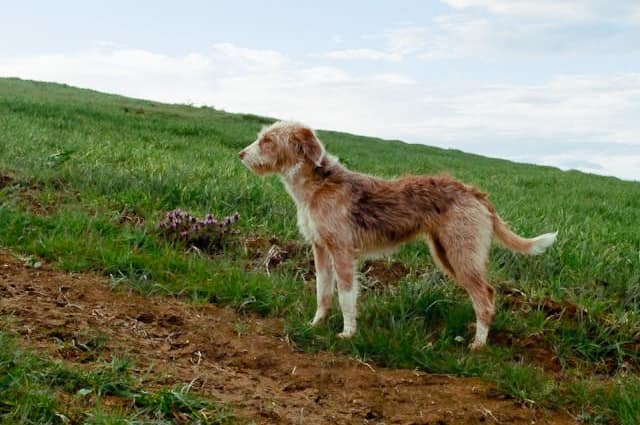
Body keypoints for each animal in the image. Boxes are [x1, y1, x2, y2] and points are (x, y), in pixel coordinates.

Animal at [239, 121, 556, 350]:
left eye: (268, 141)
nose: (240, 154)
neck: (318, 185)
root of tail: (473, 192)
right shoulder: (320, 249)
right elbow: (323, 293)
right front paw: (315, 325)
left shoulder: (342, 253)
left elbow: (346, 297)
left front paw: (347, 334)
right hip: (446, 253)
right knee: (485, 295)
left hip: (462, 256)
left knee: (486, 297)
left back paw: (477, 345)